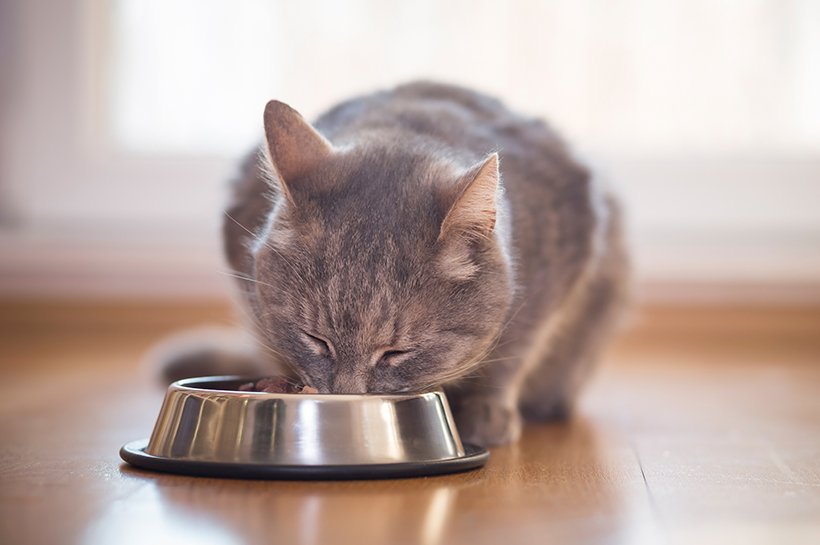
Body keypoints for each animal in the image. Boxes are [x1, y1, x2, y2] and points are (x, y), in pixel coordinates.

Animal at [157, 82, 632, 446]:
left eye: (396, 352)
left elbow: (517, 350)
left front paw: (488, 407)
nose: (347, 398)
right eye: (316, 339)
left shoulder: (560, 266)